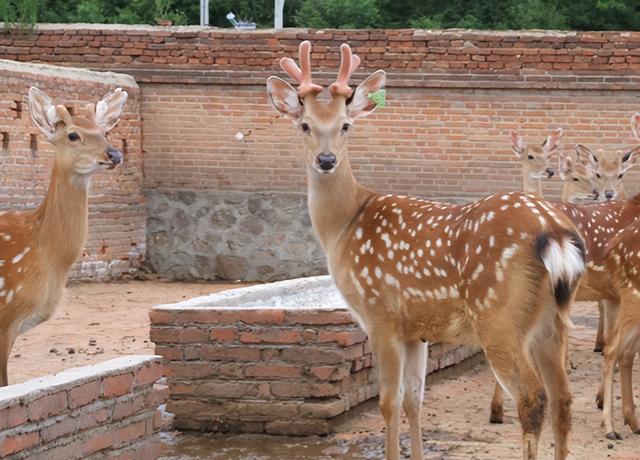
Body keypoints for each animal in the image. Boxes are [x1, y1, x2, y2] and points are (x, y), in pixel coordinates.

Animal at [268, 39, 588, 460]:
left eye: (345, 125)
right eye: (304, 124)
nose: (325, 160)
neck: (343, 225)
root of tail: (556, 232)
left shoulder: (380, 314)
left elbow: (387, 402)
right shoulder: (415, 330)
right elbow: (413, 400)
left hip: (499, 316)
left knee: (533, 398)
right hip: (552, 322)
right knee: (564, 399)